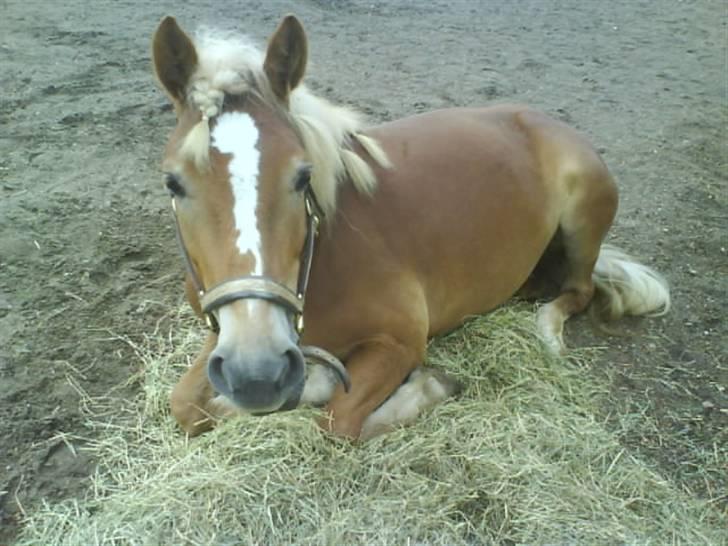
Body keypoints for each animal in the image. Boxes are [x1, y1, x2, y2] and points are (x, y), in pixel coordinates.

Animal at [151, 13, 668, 438]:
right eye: (173, 182)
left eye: (302, 177)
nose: (256, 375)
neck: (322, 263)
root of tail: (547, 121)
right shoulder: (223, 333)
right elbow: (184, 405)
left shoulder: (400, 341)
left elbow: (338, 421)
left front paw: (425, 387)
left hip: (583, 219)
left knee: (578, 291)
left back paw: (546, 330)